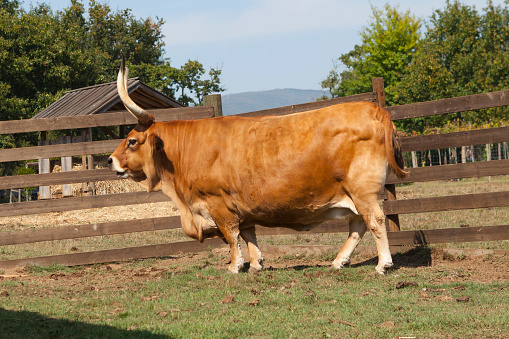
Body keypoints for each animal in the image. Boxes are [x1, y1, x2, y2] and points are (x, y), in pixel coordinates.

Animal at [109, 55, 406, 274]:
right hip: (353, 195)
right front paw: (256, 264)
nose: (110, 160)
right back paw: (338, 261)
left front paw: (234, 266)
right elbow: (248, 233)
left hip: (363, 191)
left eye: (132, 140)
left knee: (375, 221)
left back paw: (383, 264)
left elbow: (232, 236)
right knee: (358, 225)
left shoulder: (218, 204)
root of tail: (374, 109)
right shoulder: (240, 204)